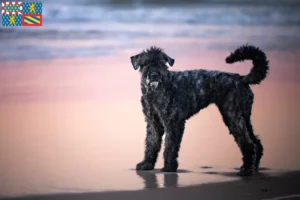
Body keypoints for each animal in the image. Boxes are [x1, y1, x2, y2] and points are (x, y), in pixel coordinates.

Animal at [131, 45, 270, 177]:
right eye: (144, 63)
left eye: (162, 62)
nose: (154, 74)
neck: (156, 92)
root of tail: (242, 79)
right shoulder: (153, 122)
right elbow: (151, 143)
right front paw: (146, 164)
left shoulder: (173, 122)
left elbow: (170, 146)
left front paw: (169, 167)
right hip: (243, 118)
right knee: (256, 142)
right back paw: (253, 167)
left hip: (233, 117)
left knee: (249, 144)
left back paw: (246, 170)